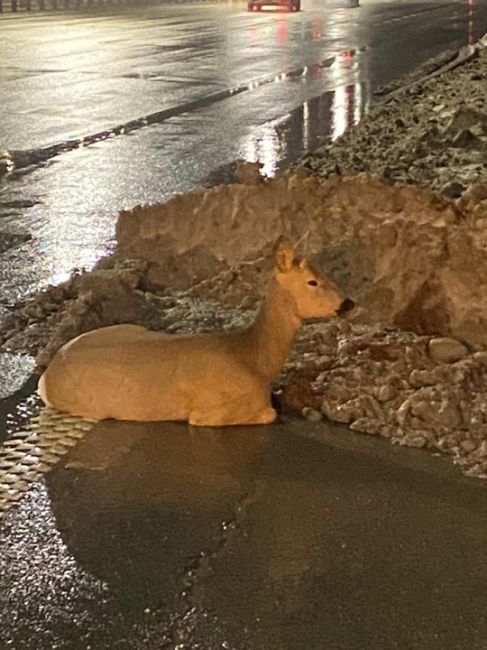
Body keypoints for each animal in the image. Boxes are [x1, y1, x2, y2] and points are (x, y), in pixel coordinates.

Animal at [37, 238, 350, 426]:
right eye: (312, 281)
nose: (348, 303)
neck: (254, 360)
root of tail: (47, 377)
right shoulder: (208, 412)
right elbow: (270, 413)